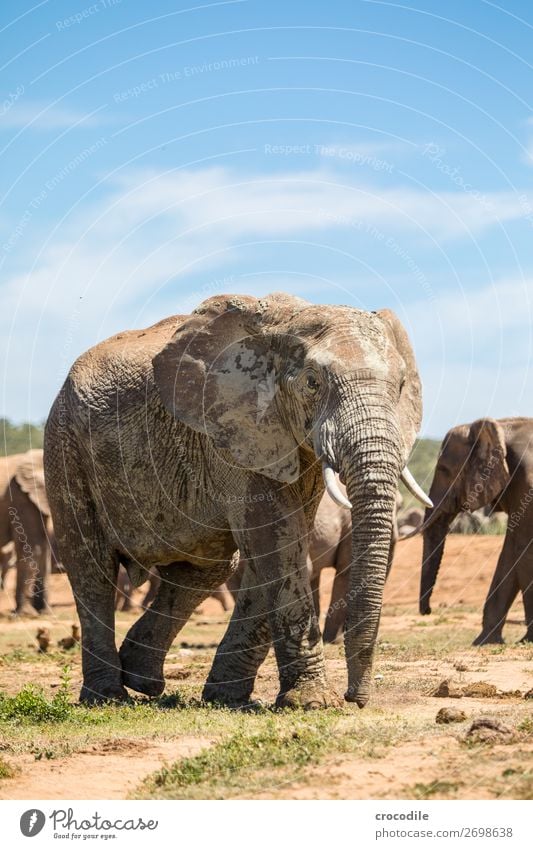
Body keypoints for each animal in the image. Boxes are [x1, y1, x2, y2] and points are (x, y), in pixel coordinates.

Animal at [45, 292, 428, 708]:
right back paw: (108, 696)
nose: (355, 699)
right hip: (64, 445)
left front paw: (227, 698)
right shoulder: (233, 434)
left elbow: (276, 547)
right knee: (91, 567)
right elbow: (276, 542)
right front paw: (311, 703)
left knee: (206, 569)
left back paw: (142, 679)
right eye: (312, 382)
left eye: (401, 385)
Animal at [418, 416, 532, 644]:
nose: (428, 610)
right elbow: (510, 553)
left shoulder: (527, 485)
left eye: (443, 469)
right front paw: (484, 642)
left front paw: (527, 640)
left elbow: (523, 551)